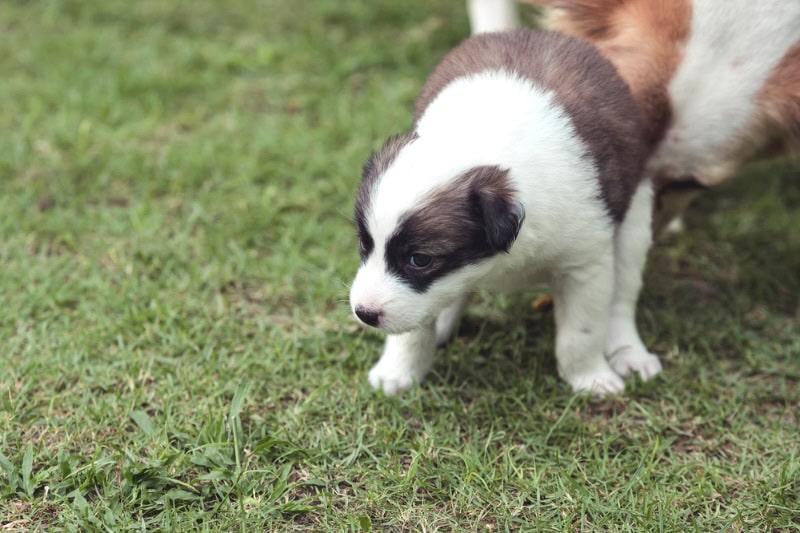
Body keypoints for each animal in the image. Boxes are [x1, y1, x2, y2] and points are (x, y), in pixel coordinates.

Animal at [346, 29, 660, 394]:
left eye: (420, 260)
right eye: (364, 244)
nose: (364, 313)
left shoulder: (585, 265)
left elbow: (581, 333)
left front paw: (589, 377)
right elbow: (411, 332)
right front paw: (398, 372)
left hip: (635, 216)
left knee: (622, 296)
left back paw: (629, 351)